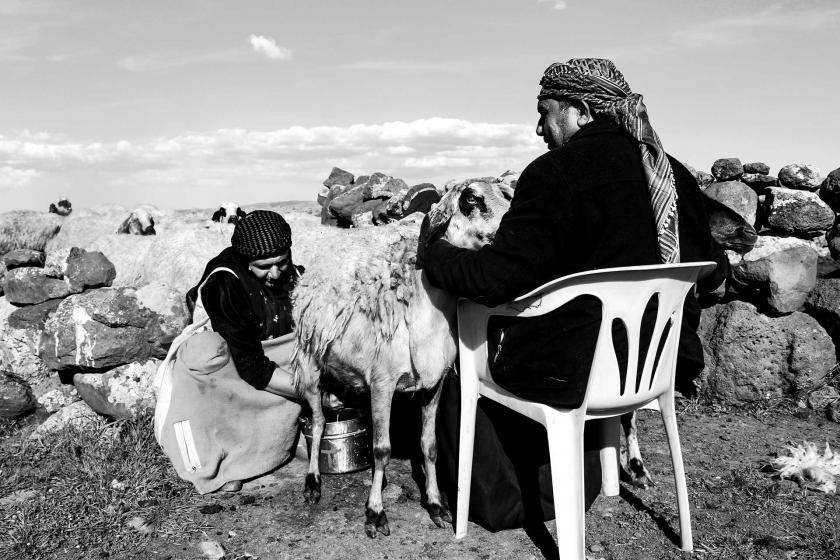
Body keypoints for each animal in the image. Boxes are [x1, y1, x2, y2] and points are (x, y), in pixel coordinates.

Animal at [292, 180, 508, 540]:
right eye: (471, 199)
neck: (422, 310)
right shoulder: (383, 383)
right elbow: (382, 450)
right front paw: (375, 513)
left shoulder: (434, 383)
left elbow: (429, 445)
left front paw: (435, 505)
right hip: (310, 360)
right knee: (319, 421)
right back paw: (313, 484)